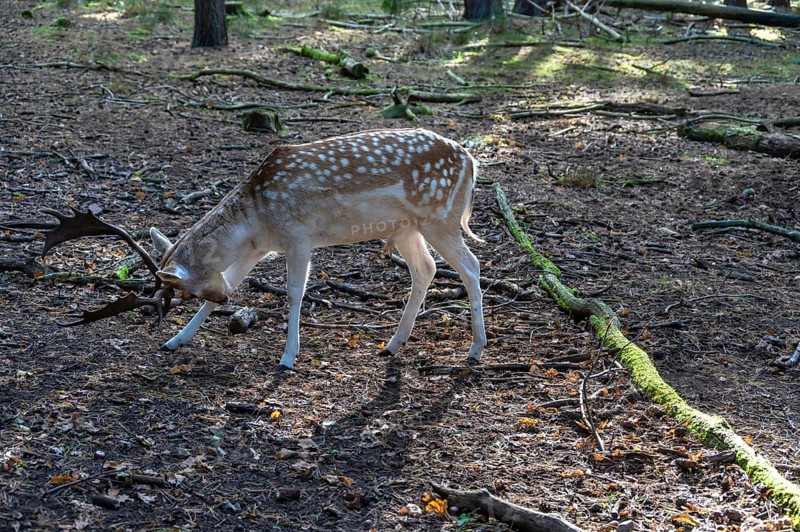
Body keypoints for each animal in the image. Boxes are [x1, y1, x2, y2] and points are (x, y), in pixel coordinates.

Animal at [43, 128, 486, 371]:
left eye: (186, 290)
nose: (222, 298)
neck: (257, 222)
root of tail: (471, 160)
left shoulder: (299, 236)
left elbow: (294, 293)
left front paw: (288, 358)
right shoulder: (257, 250)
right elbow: (237, 281)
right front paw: (175, 341)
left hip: (441, 218)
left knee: (471, 265)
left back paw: (475, 350)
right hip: (407, 227)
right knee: (426, 269)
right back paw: (393, 345)